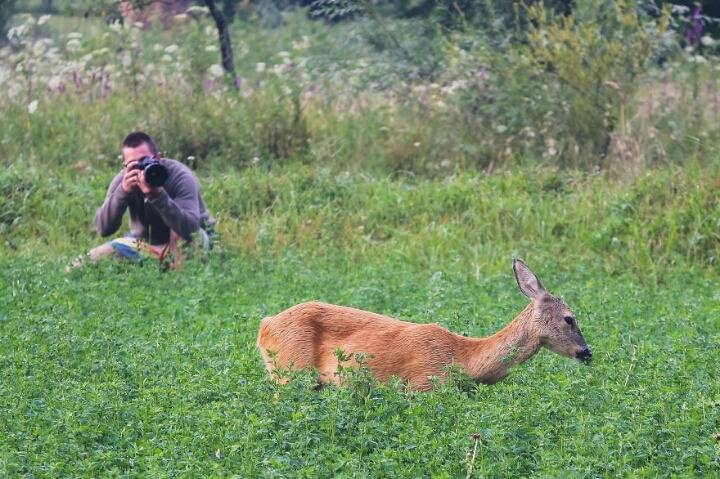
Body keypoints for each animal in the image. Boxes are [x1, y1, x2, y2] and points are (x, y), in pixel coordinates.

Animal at [258, 260, 592, 392]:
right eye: (569, 317)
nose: (587, 352)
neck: (464, 360)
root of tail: (265, 325)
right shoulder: (422, 385)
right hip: (290, 372)